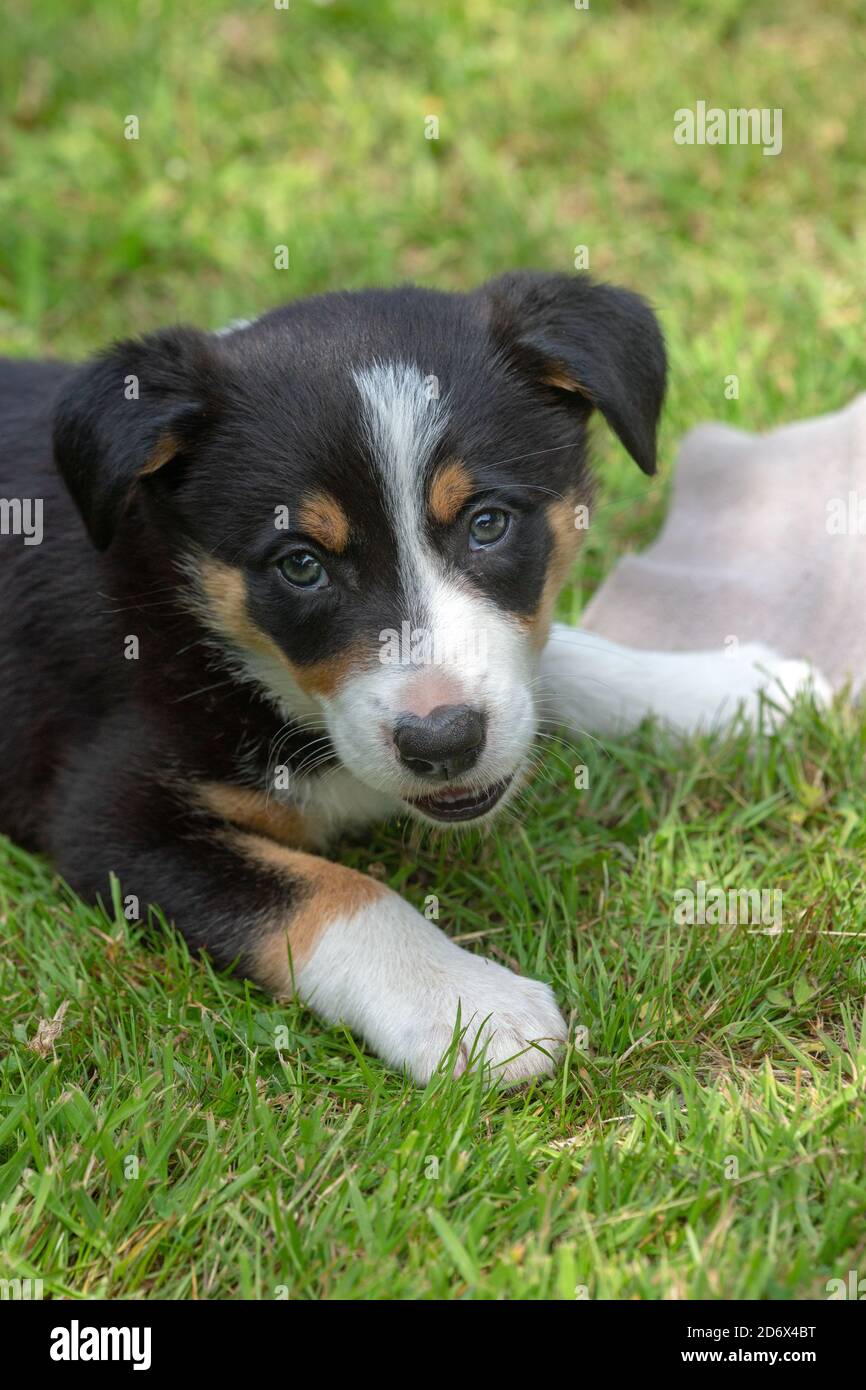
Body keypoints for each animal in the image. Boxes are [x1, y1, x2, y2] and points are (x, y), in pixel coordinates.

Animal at [0, 273, 811, 1084]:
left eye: (488, 524)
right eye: (301, 565)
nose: (442, 742)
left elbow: (562, 660)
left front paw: (735, 691)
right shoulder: (113, 823)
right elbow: (337, 892)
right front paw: (470, 1007)